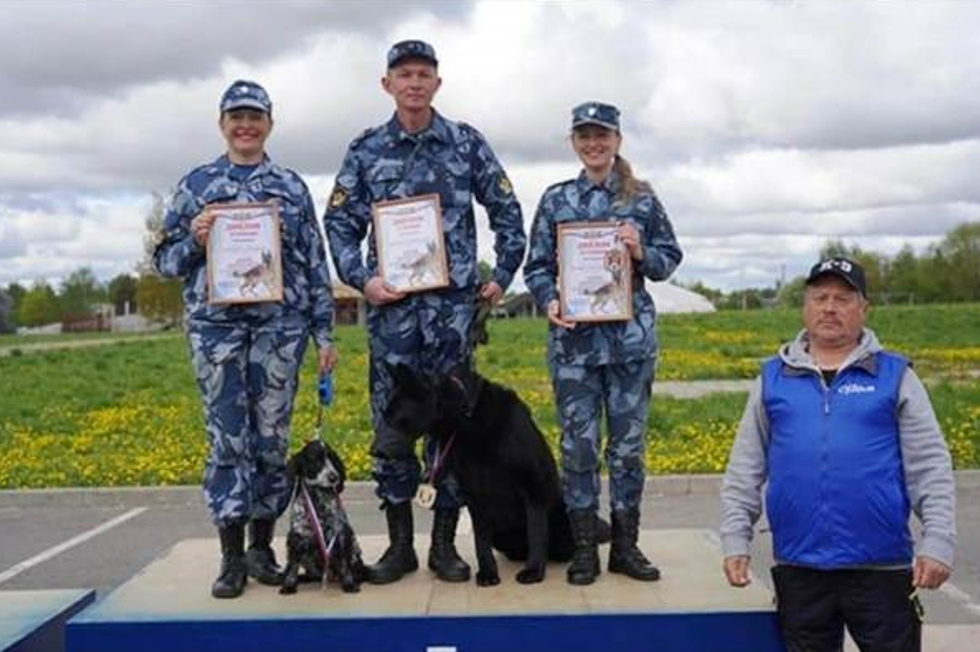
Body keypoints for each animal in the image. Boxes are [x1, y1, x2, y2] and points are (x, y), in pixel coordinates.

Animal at [280, 438, 368, 596]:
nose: (334, 477)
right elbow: (293, 565)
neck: (318, 498)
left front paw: (349, 584)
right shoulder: (297, 535)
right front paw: (289, 586)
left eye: (332, 458)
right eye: (316, 459)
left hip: (354, 549)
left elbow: (345, 565)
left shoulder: (341, 534)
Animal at [382, 362, 604, 584]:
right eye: (385, 415)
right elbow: (480, 541)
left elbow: (536, 533)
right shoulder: (474, 495)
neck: (466, 415)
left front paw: (533, 571)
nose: (377, 449)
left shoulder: (532, 487)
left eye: (394, 416)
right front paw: (488, 572)